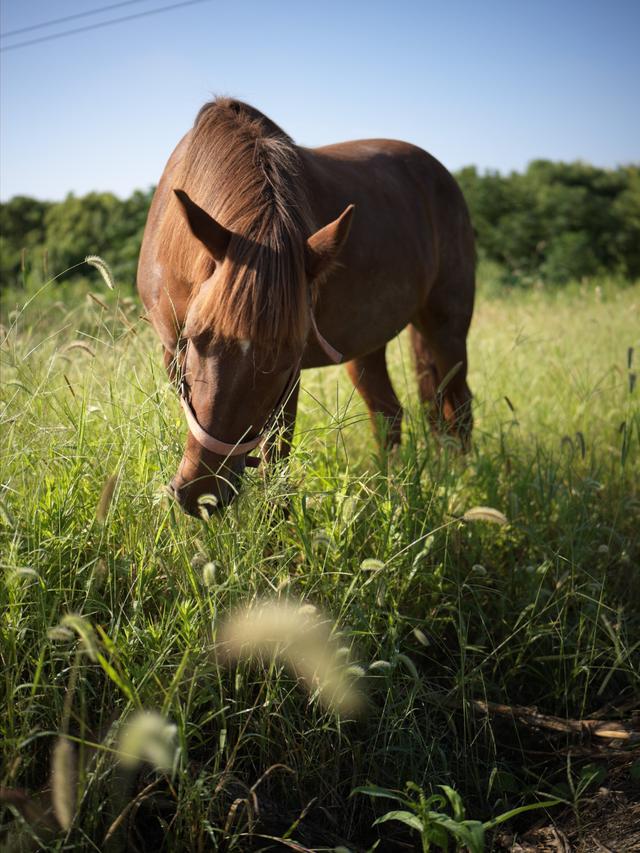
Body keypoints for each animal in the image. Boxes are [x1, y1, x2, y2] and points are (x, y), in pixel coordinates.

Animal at [136, 97, 476, 516]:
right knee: (389, 414)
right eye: (198, 338)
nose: (201, 494)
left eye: (287, 355)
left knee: (458, 410)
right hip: (366, 344)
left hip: (447, 328)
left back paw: (461, 488)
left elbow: (275, 457)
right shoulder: (172, 352)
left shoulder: (291, 379)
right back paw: (390, 490)